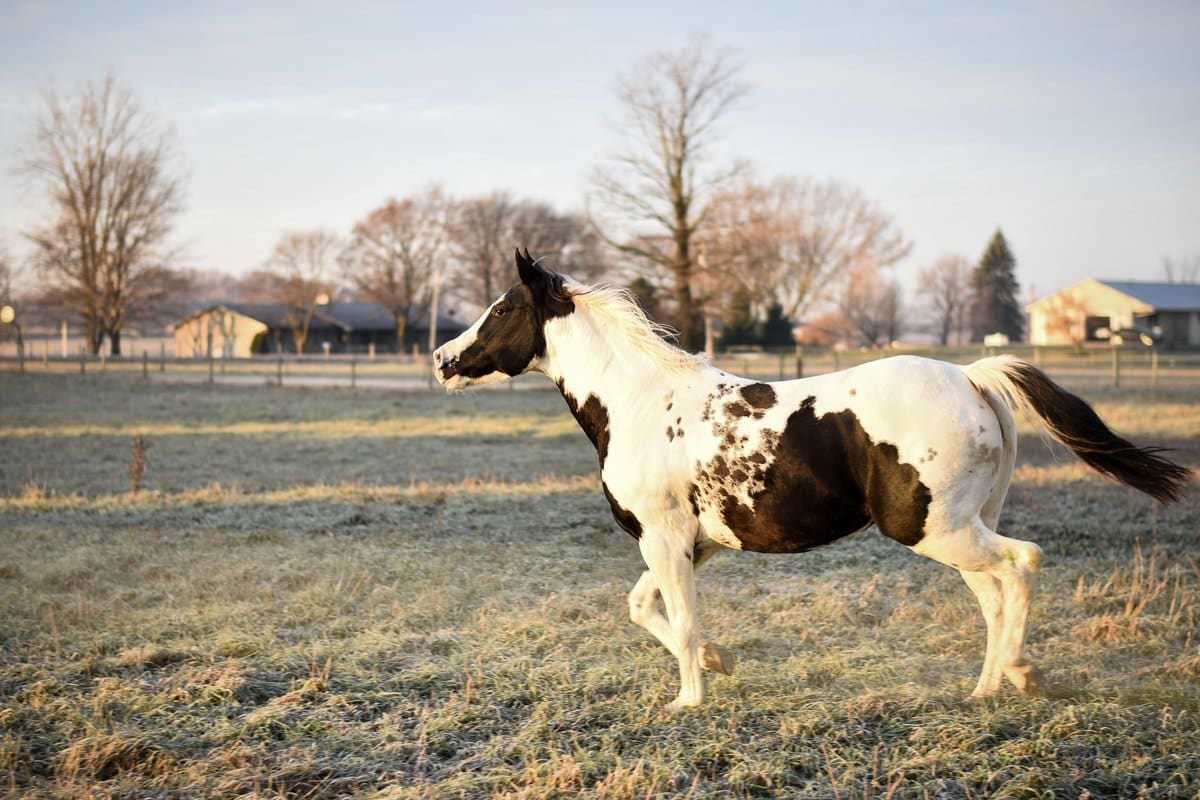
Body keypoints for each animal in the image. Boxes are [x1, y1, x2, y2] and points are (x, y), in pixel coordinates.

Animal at [433, 249, 1190, 711]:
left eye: (502, 310)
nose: (442, 359)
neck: (641, 404)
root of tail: (972, 376)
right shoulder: (690, 544)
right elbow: (645, 608)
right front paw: (720, 662)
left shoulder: (666, 538)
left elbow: (677, 618)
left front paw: (688, 699)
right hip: (958, 529)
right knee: (994, 596)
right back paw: (987, 688)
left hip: (936, 530)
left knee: (1022, 565)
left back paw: (1018, 676)